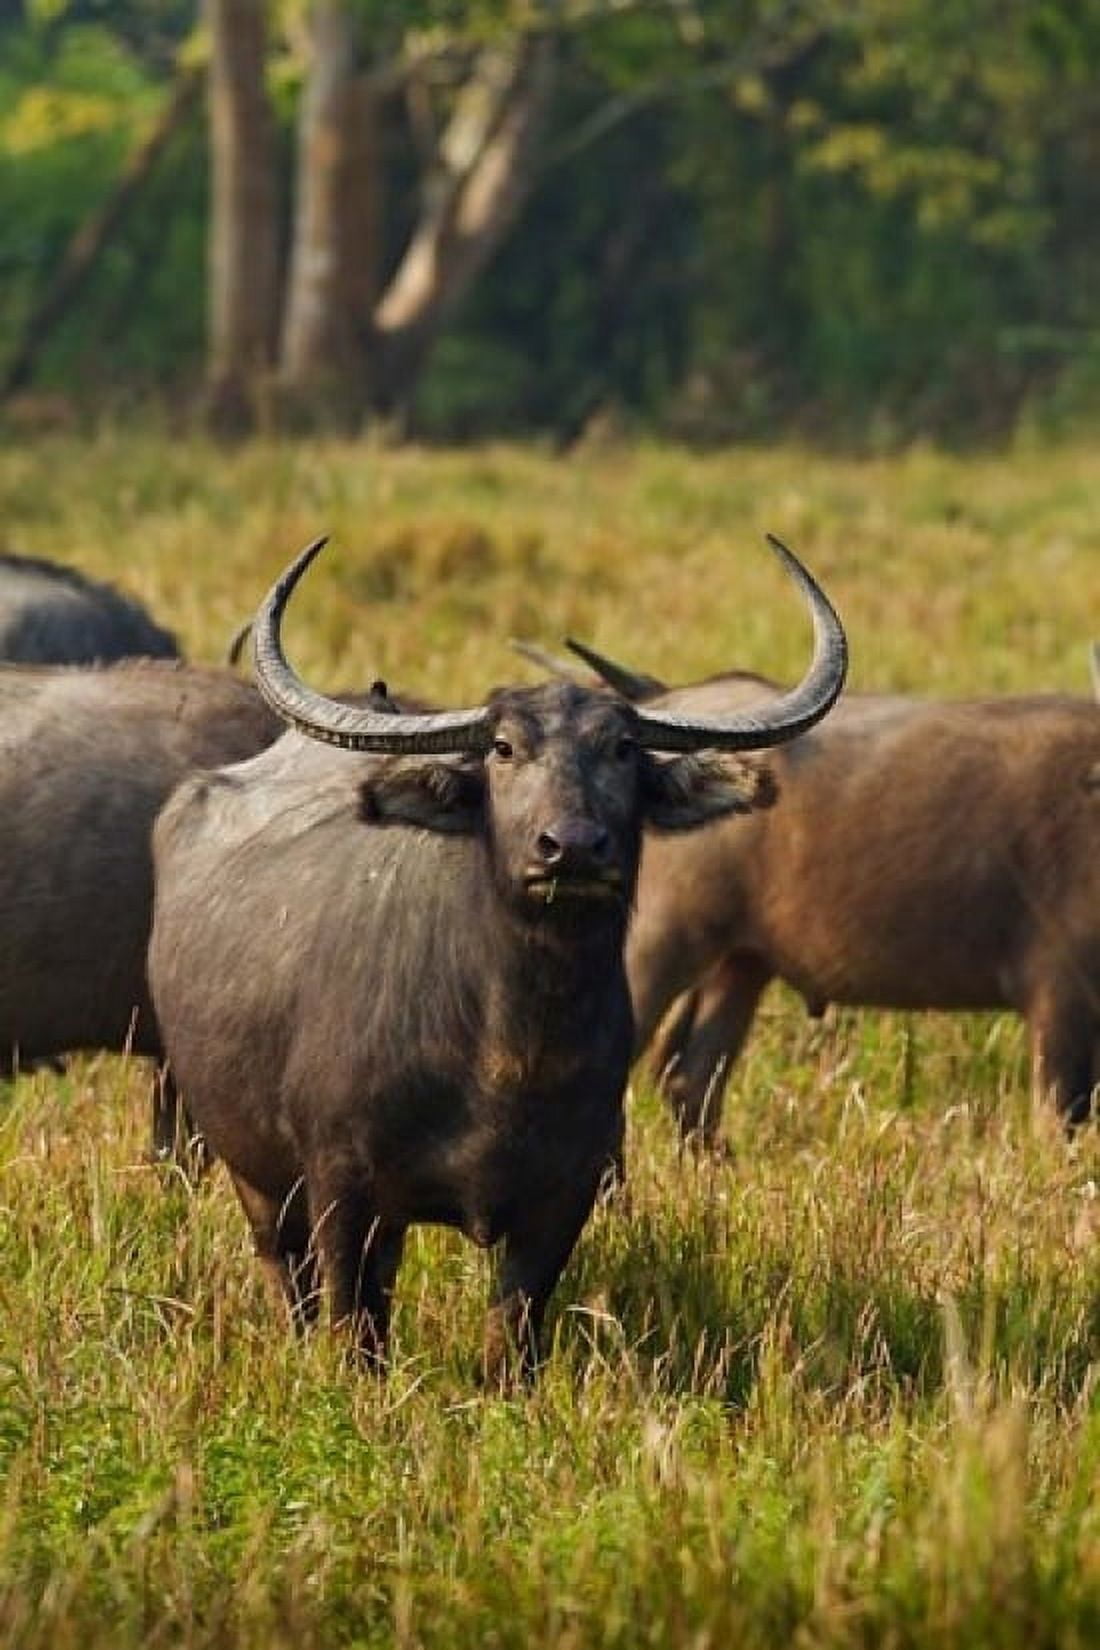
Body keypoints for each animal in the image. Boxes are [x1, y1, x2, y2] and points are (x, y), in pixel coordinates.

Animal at [148, 534, 847, 1381]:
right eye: (505, 749)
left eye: (622, 749)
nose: (570, 847)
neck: (509, 1046)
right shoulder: (341, 1184)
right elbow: (352, 1324)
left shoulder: (564, 1193)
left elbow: (511, 1331)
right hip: (247, 1162)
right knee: (291, 1275)